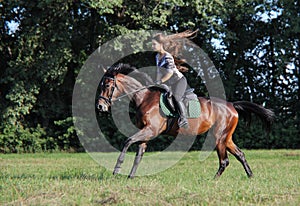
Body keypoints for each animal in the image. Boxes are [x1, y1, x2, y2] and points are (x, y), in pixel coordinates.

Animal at [96, 64, 274, 179]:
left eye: (108, 85)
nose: (100, 106)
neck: (144, 98)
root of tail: (232, 105)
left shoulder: (150, 131)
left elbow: (127, 141)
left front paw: (116, 169)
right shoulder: (146, 133)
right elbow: (139, 154)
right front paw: (131, 177)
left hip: (219, 137)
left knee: (224, 161)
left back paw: (213, 180)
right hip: (226, 137)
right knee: (240, 155)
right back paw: (250, 176)